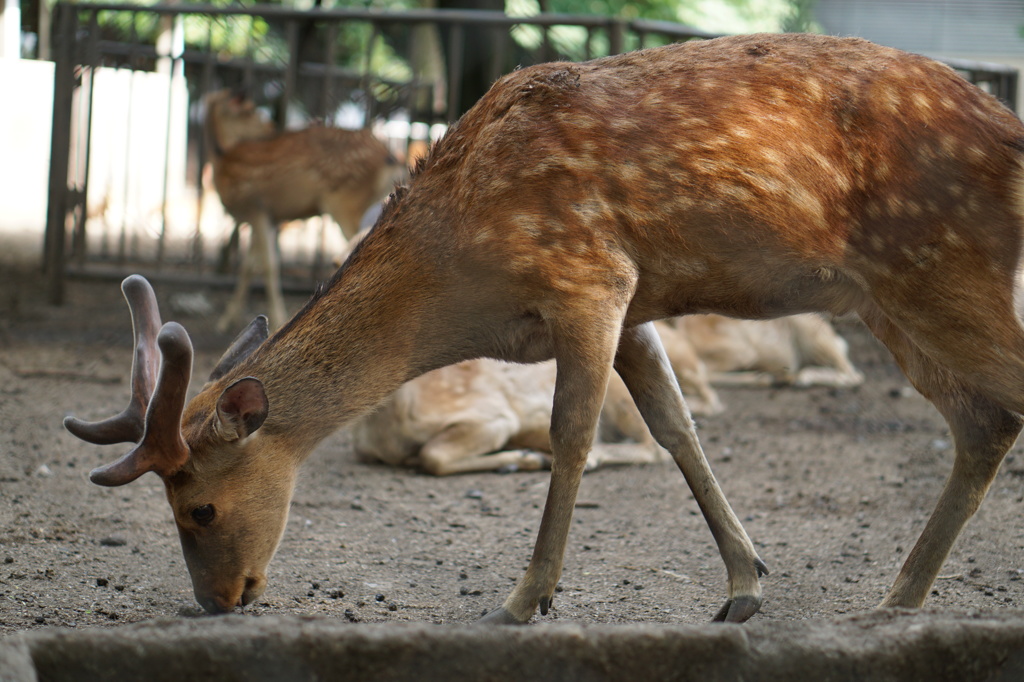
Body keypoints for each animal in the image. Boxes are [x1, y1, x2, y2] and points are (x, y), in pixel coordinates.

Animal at [203, 91, 403, 331]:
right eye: (249, 110)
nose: (270, 127)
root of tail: (391, 159)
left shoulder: (256, 209)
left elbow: (269, 265)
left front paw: (276, 319)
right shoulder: (267, 217)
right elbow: (249, 266)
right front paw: (226, 321)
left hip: (346, 202)